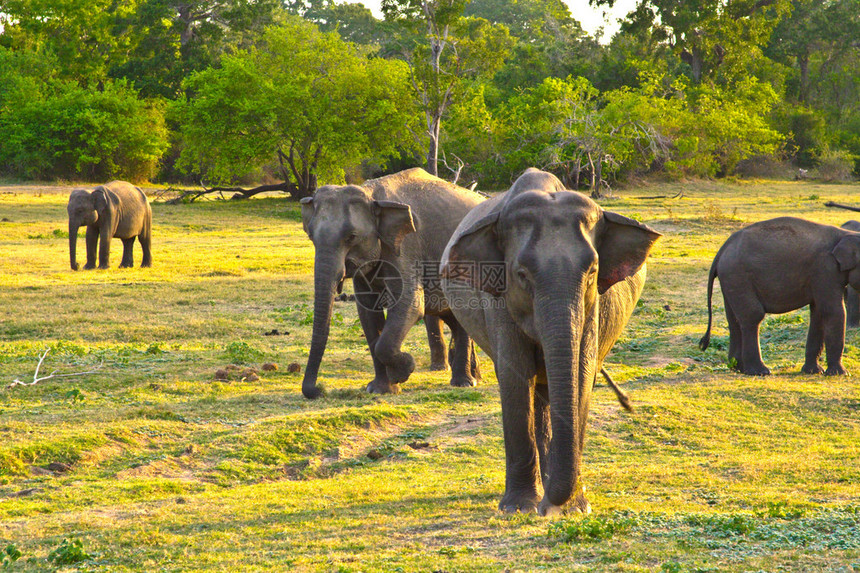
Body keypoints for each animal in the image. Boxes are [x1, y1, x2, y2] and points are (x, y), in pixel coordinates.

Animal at [300, 166, 484, 398]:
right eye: (310, 236)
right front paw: (380, 389)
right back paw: (473, 378)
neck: (371, 195)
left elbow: (410, 305)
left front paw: (404, 370)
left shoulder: (405, 247)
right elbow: (368, 314)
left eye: (351, 237)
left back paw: (464, 383)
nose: (319, 390)